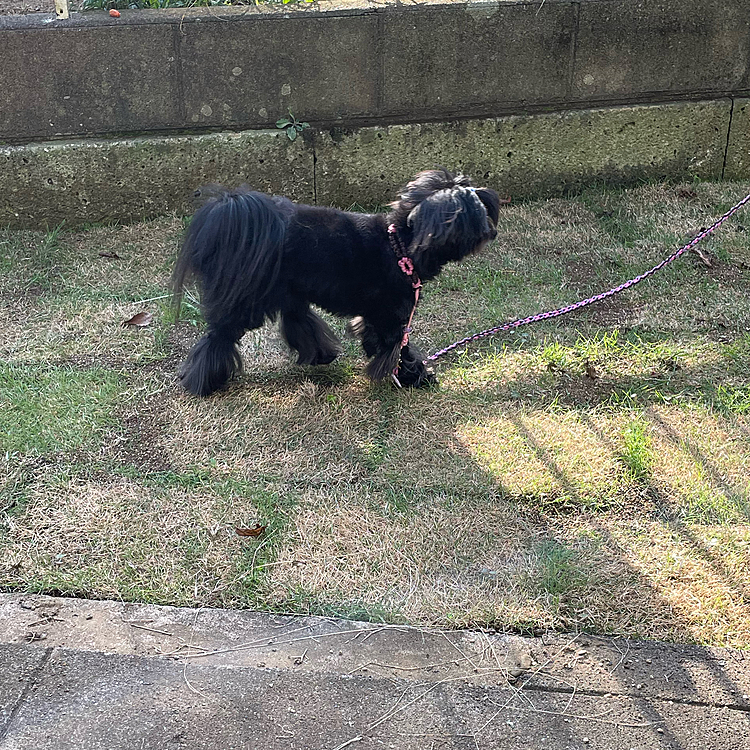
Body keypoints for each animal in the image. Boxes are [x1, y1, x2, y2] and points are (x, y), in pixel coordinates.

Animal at [173, 167, 502, 396]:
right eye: (477, 215)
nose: (492, 231)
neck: (399, 246)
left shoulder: (376, 315)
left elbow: (377, 340)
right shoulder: (394, 317)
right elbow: (399, 349)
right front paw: (414, 376)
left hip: (290, 290)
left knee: (297, 321)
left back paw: (321, 354)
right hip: (248, 300)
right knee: (218, 336)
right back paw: (201, 382)